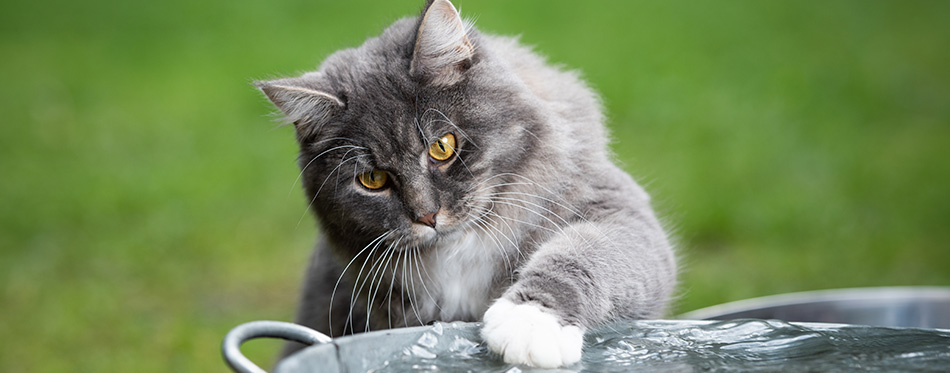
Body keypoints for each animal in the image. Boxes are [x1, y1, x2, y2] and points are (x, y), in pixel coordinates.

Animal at [256, 0, 680, 366]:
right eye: (372, 179)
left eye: (442, 147)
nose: (427, 216)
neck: (459, 249)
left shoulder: (614, 209)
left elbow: (581, 255)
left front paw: (528, 323)